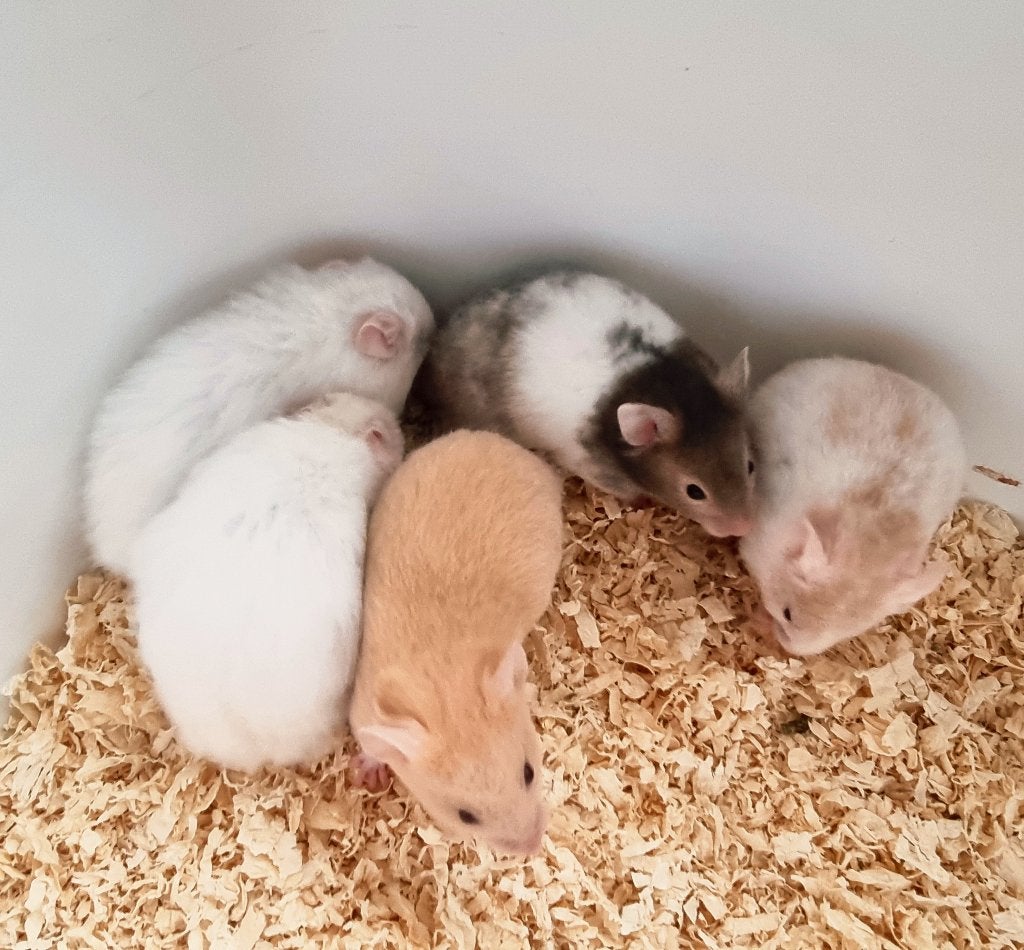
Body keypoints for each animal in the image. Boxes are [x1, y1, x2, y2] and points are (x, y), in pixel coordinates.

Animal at [348, 430, 563, 856]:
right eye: (465, 816)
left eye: (529, 772)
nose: (533, 848)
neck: (443, 681)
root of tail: (492, 439)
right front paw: (366, 774)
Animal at [419, 271, 754, 537]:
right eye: (694, 492)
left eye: (750, 465)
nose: (744, 528)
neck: (662, 386)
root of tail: (435, 350)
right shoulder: (593, 467)